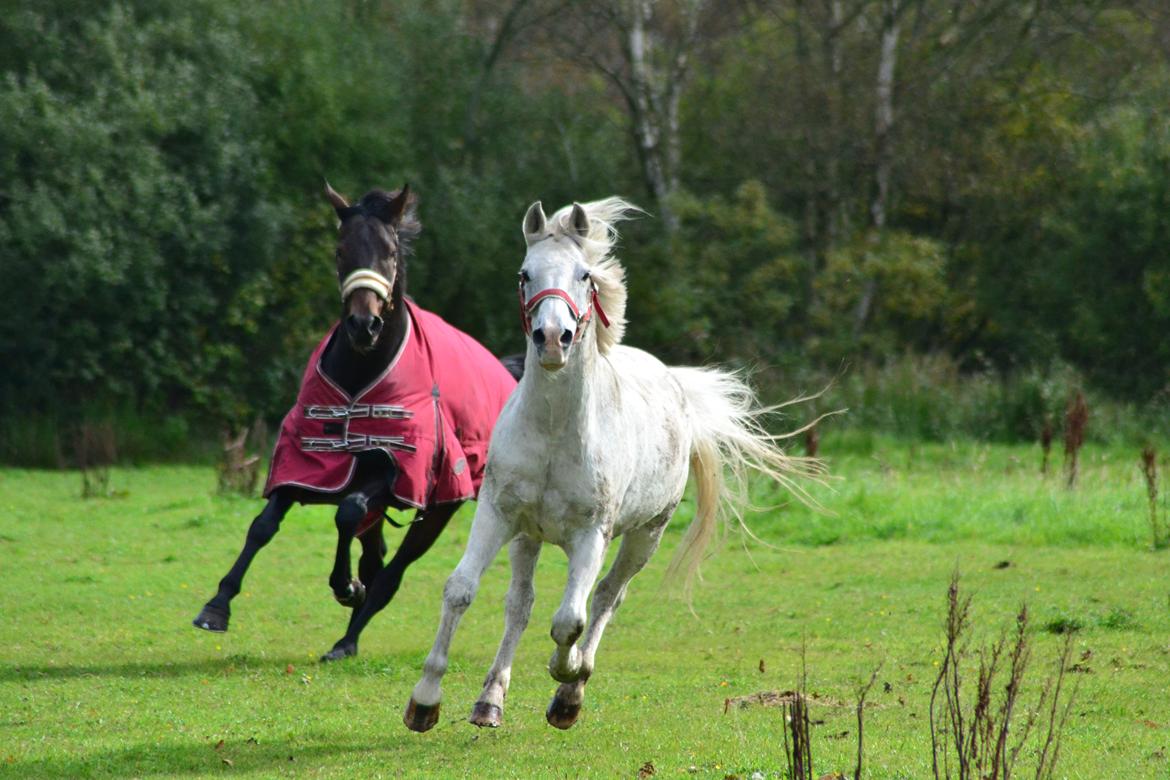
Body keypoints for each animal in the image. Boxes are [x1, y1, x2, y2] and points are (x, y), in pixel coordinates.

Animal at [193, 183, 521, 659]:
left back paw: (348, 635)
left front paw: (345, 586)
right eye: (340, 249)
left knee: (390, 570)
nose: (363, 325)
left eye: (390, 251)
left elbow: (348, 513)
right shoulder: (309, 461)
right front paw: (217, 605)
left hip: (440, 507)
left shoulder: (398, 470)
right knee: (373, 552)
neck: (362, 374)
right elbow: (263, 526)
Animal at [407, 195, 819, 734]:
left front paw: (567, 674)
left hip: (646, 536)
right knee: (521, 605)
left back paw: (570, 692)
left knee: (606, 598)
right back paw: (490, 699)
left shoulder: (592, 535)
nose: (552, 338)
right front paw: (425, 700)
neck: (556, 431)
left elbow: (571, 619)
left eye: (584, 274)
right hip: (528, 537)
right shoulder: (498, 514)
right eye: (524, 273)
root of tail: (673, 382)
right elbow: (461, 590)